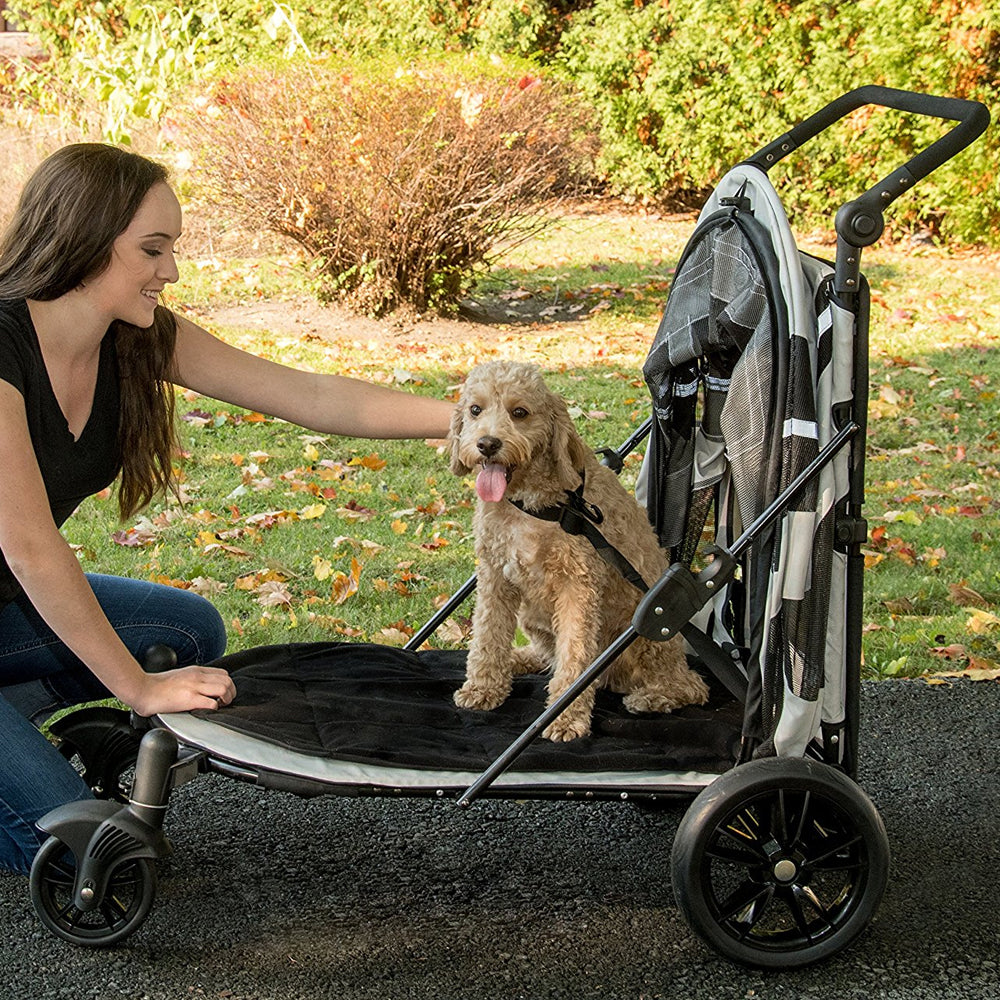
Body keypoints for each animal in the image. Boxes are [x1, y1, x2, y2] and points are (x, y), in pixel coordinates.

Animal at [450, 362, 708, 744]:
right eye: (475, 410)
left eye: (519, 412)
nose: (487, 444)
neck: (532, 504)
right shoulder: (495, 576)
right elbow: (487, 634)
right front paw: (483, 687)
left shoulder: (578, 585)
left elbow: (574, 657)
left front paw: (565, 718)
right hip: (533, 617)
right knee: (548, 656)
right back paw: (518, 659)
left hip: (647, 629)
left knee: (692, 686)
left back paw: (652, 698)